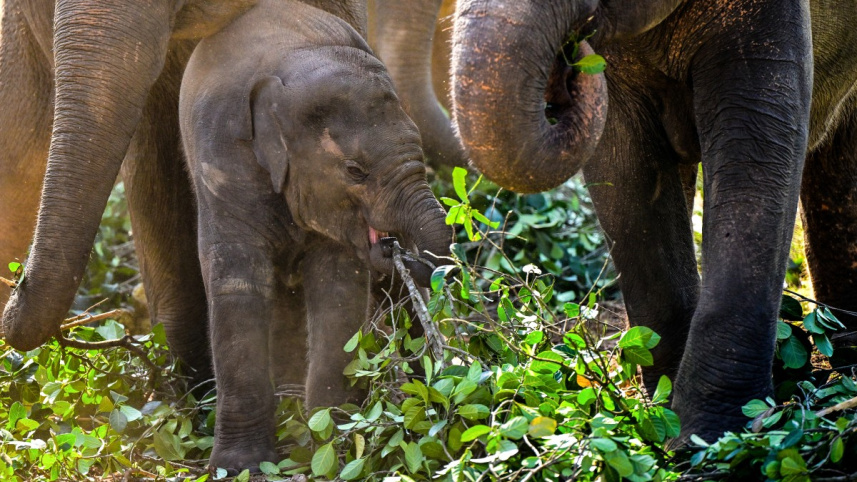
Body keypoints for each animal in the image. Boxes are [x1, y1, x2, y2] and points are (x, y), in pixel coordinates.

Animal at [177, 0, 452, 469]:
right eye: (355, 171)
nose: (398, 249)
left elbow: (338, 288)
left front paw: (331, 443)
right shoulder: (224, 160)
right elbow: (237, 286)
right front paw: (239, 467)